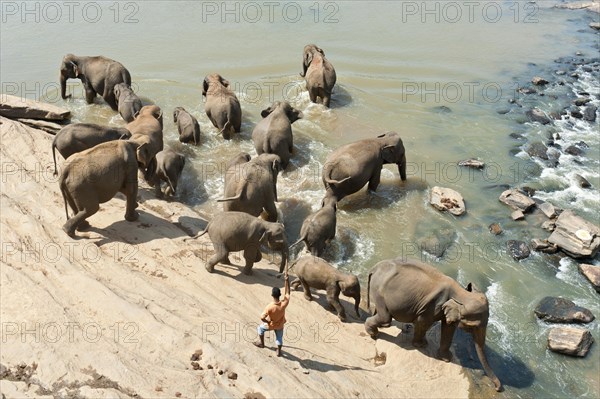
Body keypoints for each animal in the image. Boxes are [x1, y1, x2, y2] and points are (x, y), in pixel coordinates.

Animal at [366, 258, 502, 392]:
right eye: (473, 326)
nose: (498, 388)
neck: (461, 292)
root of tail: (374, 268)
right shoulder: (432, 306)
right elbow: (423, 322)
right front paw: (421, 345)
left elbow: (448, 328)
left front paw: (446, 358)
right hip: (379, 291)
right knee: (385, 318)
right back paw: (373, 333)